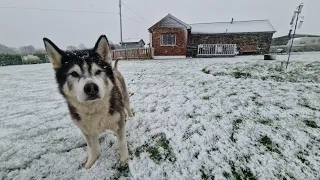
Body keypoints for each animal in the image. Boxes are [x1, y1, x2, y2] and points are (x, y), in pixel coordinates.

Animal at [42, 35, 132, 169]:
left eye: (98, 71)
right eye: (74, 73)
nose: (91, 87)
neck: (94, 109)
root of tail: (115, 69)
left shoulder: (119, 122)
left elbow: (122, 143)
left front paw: (124, 160)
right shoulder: (87, 131)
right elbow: (92, 148)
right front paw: (90, 164)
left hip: (125, 99)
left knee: (128, 107)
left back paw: (131, 117)